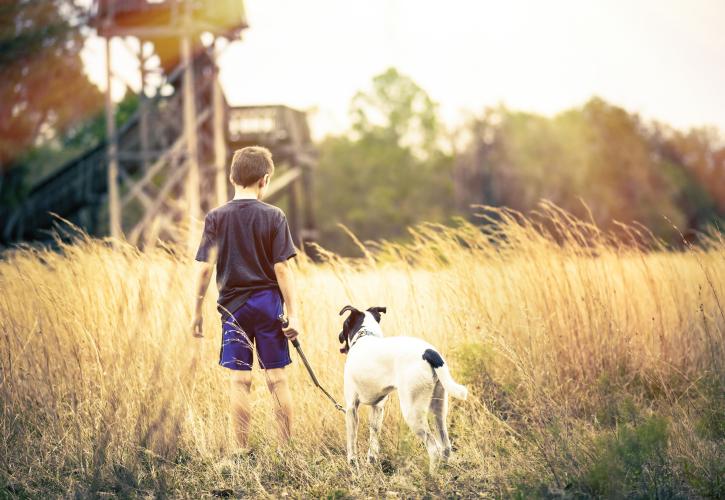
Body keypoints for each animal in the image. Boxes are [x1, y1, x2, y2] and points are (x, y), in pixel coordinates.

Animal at [336, 302, 466, 470]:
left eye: (345, 323)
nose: (339, 335)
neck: (365, 336)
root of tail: (429, 352)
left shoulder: (351, 408)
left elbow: (352, 443)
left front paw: (353, 466)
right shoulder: (378, 407)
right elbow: (373, 440)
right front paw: (371, 463)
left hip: (412, 412)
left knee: (434, 448)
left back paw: (432, 475)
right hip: (438, 408)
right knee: (445, 446)